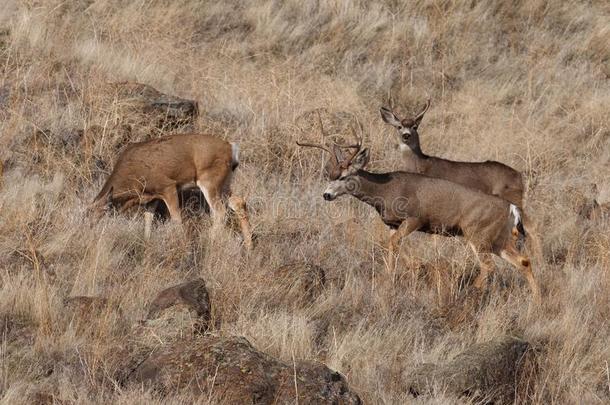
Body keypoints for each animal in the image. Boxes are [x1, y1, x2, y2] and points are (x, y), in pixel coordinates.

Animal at [91, 133, 252, 248]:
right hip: (224, 184)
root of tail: (231, 148)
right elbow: (148, 219)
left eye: (102, 213)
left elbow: (176, 218)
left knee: (220, 211)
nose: (93, 232)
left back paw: (209, 242)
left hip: (209, 180)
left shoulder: (168, 186)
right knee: (239, 202)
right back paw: (249, 247)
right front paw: (146, 243)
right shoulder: (152, 197)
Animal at [296, 131, 540, 302]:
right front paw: (396, 275)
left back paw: (469, 293)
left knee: (489, 266)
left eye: (344, 176)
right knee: (523, 261)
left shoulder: (415, 218)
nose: (326, 195)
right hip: (496, 240)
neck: (384, 191)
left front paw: (409, 270)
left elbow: (394, 244)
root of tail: (510, 208)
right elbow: (391, 245)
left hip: (476, 234)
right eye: (330, 174)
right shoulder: (392, 224)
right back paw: (536, 302)